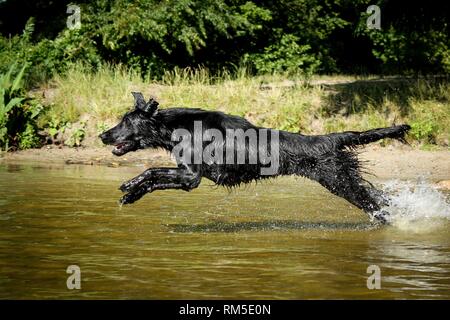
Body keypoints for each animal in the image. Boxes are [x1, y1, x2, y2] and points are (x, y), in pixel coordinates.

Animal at [100, 92, 410, 222]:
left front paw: (129, 185)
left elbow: (151, 171)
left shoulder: (191, 176)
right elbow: (154, 180)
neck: (179, 126)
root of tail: (328, 138)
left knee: (377, 206)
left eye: (126, 121)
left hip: (339, 181)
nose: (103, 135)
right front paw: (130, 196)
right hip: (344, 180)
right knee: (380, 198)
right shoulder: (188, 178)